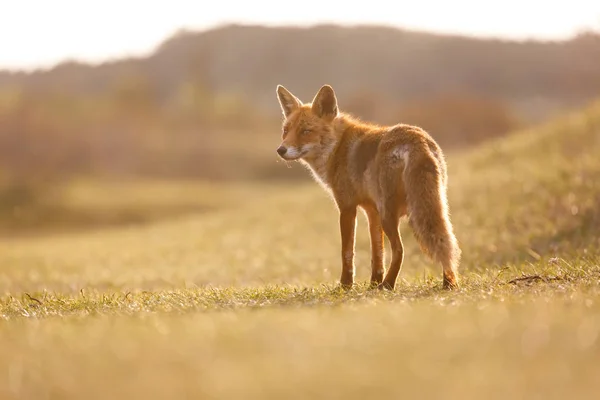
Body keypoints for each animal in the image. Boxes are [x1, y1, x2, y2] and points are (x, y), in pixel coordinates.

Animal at [274, 84, 462, 290]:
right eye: (286, 131)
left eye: (305, 131)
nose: (281, 150)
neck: (337, 148)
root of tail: (416, 138)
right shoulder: (372, 211)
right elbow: (377, 254)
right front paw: (373, 283)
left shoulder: (347, 208)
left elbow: (347, 252)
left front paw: (346, 285)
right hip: (435, 206)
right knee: (448, 241)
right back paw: (448, 283)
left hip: (390, 214)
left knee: (400, 249)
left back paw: (388, 285)